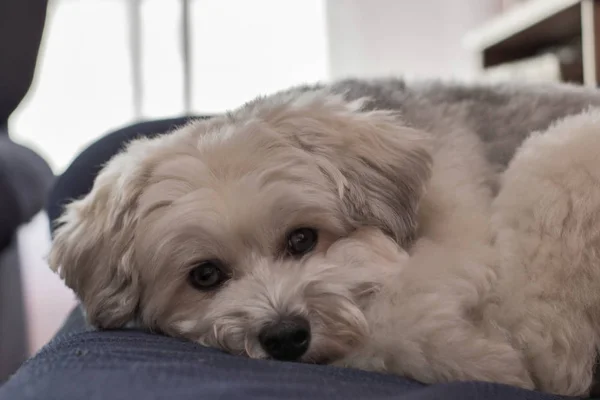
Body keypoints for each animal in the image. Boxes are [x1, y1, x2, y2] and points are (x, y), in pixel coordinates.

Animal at [48, 79, 600, 396]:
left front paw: (484, 362)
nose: (284, 336)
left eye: (302, 239)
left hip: (552, 158)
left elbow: (399, 317)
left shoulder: (459, 237)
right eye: (204, 275)